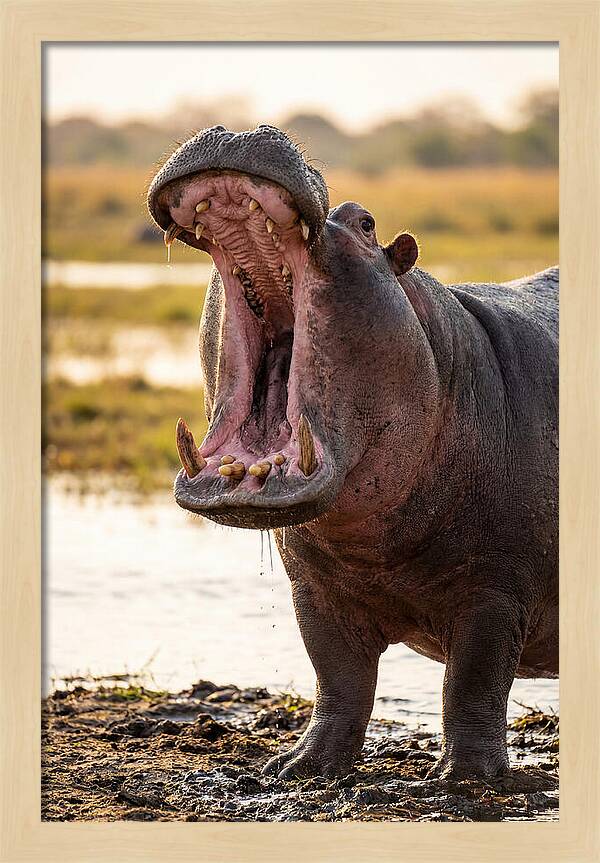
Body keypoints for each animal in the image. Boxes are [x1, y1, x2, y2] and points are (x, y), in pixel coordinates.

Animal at [147, 125, 558, 781]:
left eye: (365, 223)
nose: (239, 129)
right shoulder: (314, 590)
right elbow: (338, 677)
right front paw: (300, 767)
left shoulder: (497, 591)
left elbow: (474, 682)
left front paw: (467, 780)